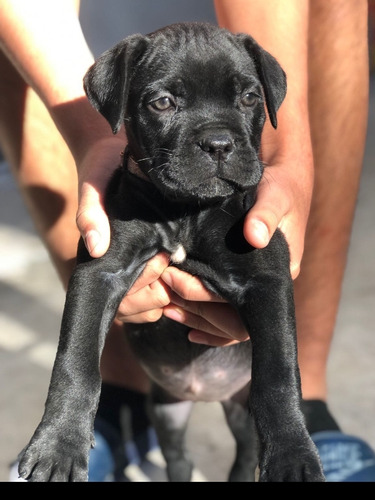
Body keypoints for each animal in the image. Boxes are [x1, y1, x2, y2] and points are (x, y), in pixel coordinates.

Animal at [16, 22, 326, 480]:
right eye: (163, 103)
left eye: (250, 98)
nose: (218, 143)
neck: (185, 211)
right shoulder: (100, 271)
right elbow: (76, 360)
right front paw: (58, 444)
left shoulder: (266, 277)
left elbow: (278, 373)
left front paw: (292, 455)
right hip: (166, 411)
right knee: (179, 457)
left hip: (238, 411)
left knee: (245, 452)